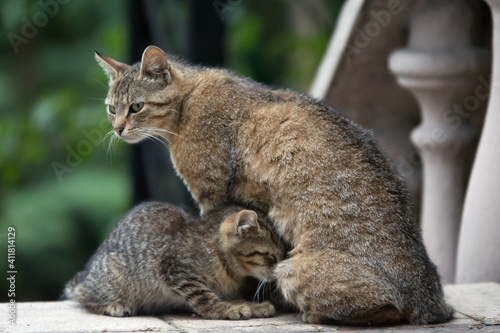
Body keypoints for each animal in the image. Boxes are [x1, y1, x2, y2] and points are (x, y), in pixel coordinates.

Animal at [62, 201, 284, 318]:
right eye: (271, 256)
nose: (279, 274)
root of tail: (86, 274)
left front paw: (253, 306)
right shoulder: (175, 270)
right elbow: (205, 298)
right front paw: (227, 309)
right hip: (115, 276)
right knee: (82, 293)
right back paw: (113, 305)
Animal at [94, 46, 458, 324]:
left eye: (136, 107)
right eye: (111, 108)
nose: (118, 128)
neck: (188, 104)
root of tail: (431, 301)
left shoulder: (212, 194)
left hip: (293, 269)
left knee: (389, 311)